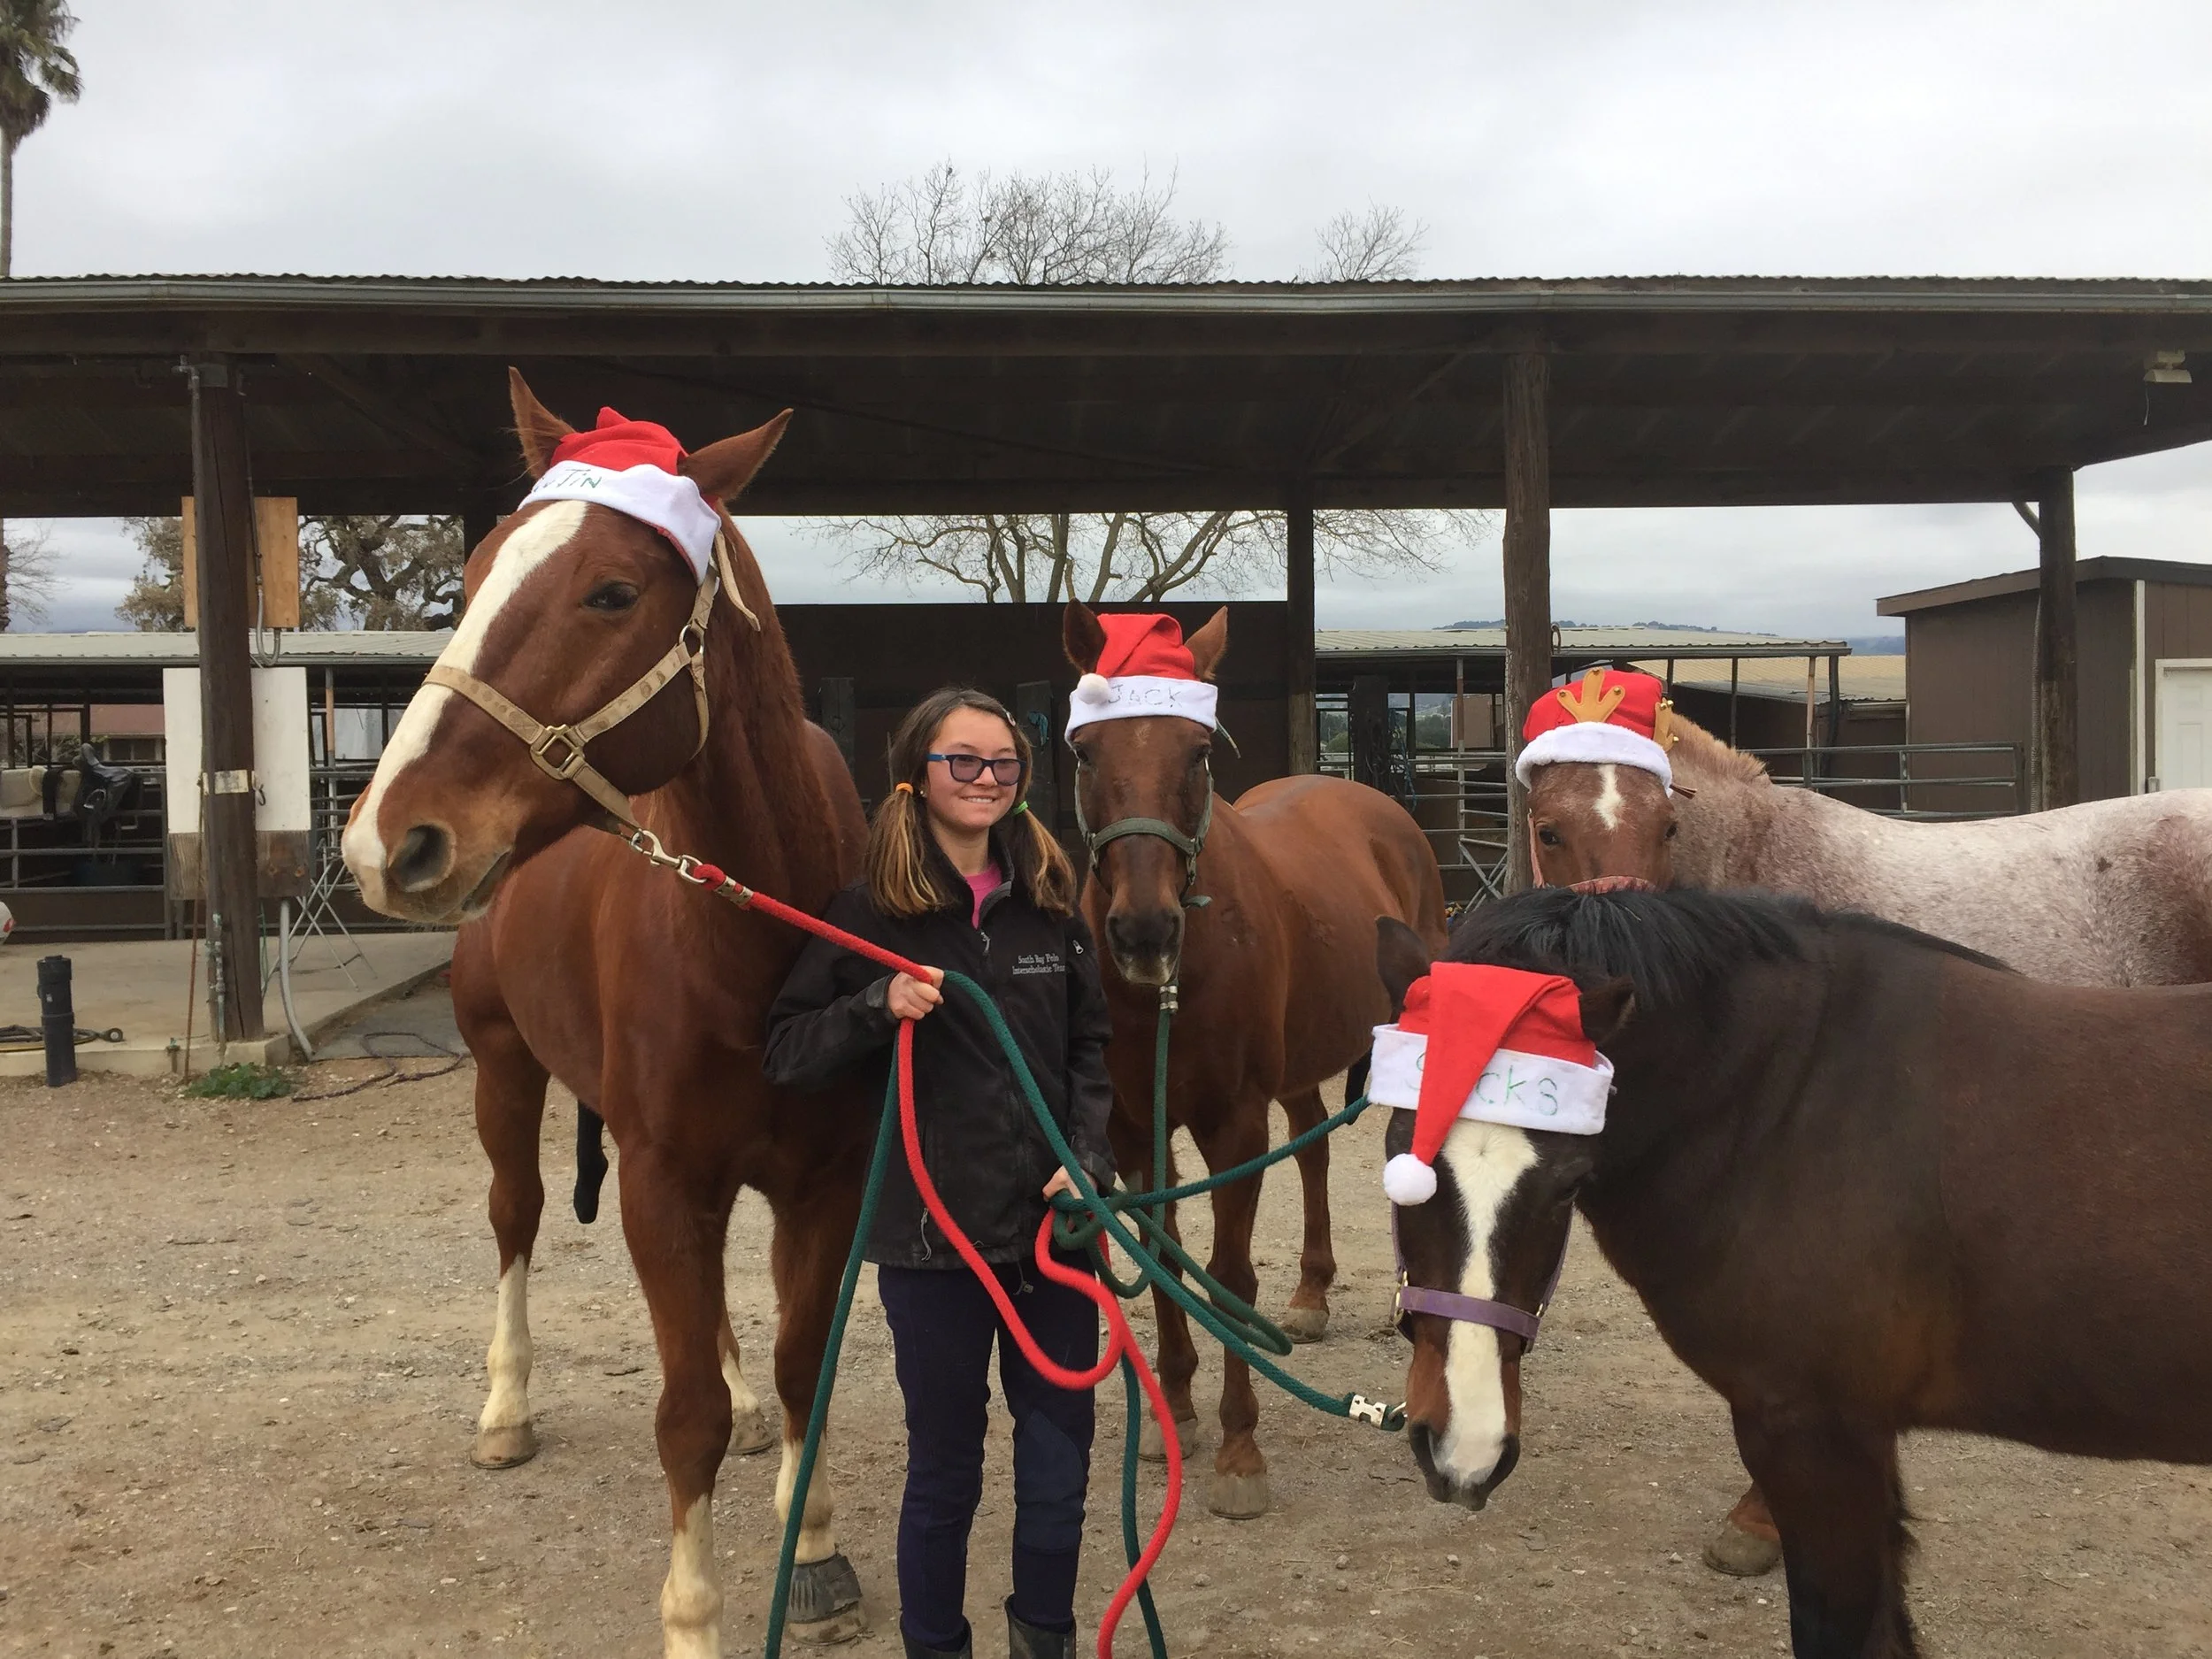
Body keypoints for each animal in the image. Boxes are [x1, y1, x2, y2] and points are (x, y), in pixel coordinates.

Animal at [342, 372, 872, 1658]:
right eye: (475, 573)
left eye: (614, 591)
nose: (388, 839)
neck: (753, 934)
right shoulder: (659, 1178)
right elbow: (678, 1416)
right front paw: (692, 1617)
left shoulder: (824, 1179)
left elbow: (800, 1363)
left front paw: (812, 1540)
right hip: (502, 1072)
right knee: (516, 1218)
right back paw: (504, 1407)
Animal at [1061, 600, 1448, 1518]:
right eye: (1086, 751)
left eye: (1197, 752)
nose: (1144, 931)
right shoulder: (1132, 1126)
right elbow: (1163, 1253)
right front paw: (1178, 1411)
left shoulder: (1233, 1120)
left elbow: (1230, 1275)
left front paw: (1241, 1450)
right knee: (1312, 1148)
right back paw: (1310, 1293)